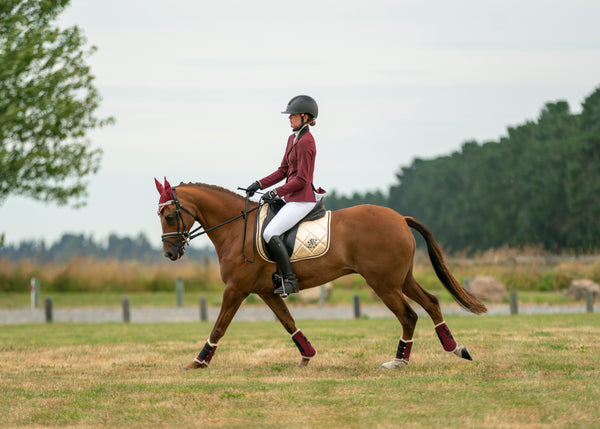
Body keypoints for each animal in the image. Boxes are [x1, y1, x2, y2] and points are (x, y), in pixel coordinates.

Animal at [152, 177, 486, 368]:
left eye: (168, 216)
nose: (169, 254)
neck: (236, 228)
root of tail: (400, 219)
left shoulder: (236, 289)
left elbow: (219, 326)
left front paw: (198, 361)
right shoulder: (265, 291)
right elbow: (288, 322)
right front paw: (307, 355)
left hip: (384, 284)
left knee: (409, 315)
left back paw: (399, 362)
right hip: (401, 279)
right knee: (431, 302)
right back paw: (455, 349)